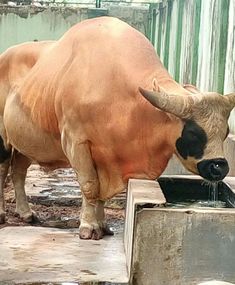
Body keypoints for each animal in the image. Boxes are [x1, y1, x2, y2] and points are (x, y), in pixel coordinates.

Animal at [0, 16, 235, 237]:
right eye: (194, 133)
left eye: (225, 132)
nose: (219, 167)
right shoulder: (76, 142)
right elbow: (90, 186)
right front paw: (88, 226)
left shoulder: (107, 157)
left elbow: (101, 192)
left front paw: (102, 225)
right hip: (3, 137)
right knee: (3, 170)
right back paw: (3, 213)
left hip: (24, 143)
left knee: (18, 172)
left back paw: (25, 212)